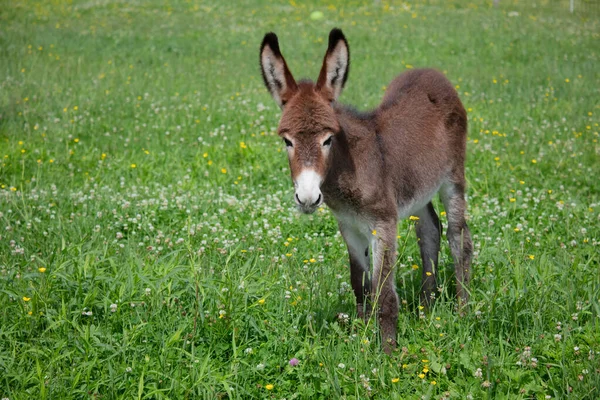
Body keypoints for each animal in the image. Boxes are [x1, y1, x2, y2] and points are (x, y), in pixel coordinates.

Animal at [258, 28, 474, 354]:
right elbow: (359, 283)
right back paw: (426, 308)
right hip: (417, 189)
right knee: (429, 231)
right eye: (287, 141)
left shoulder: (383, 224)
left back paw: (463, 309)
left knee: (458, 237)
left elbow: (383, 292)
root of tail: (432, 72)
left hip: (453, 178)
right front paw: (361, 334)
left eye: (328, 139)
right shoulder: (349, 226)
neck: (349, 167)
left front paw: (387, 353)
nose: (307, 198)